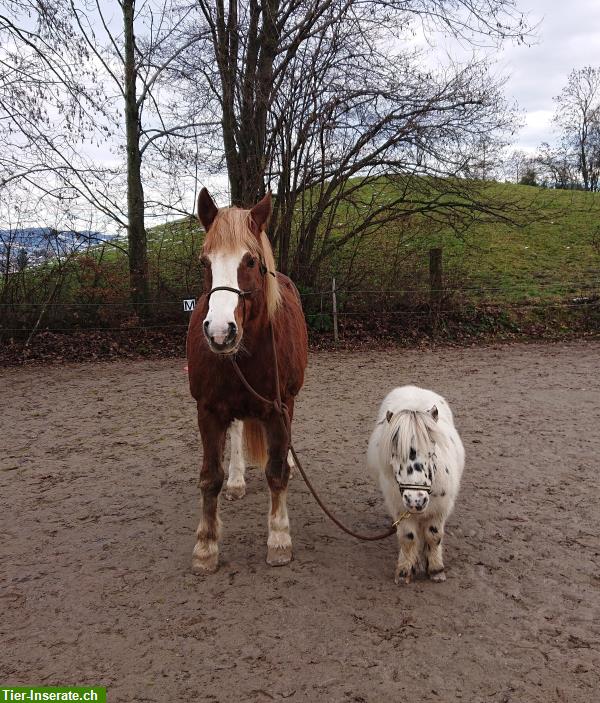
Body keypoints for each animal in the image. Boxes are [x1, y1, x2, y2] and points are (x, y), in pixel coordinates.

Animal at [186, 190, 310, 576]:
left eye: (251, 261)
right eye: (204, 262)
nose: (220, 331)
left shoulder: (279, 407)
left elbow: (276, 472)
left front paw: (279, 540)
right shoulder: (208, 410)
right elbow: (209, 477)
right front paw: (205, 547)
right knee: (238, 432)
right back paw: (237, 480)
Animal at [368, 384, 466, 584]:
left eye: (431, 452)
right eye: (395, 455)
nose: (416, 501)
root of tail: (412, 387)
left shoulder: (440, 509)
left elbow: (434, 535)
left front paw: (436, 569)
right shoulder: (400, 509)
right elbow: (408, 537)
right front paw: (405, 570)